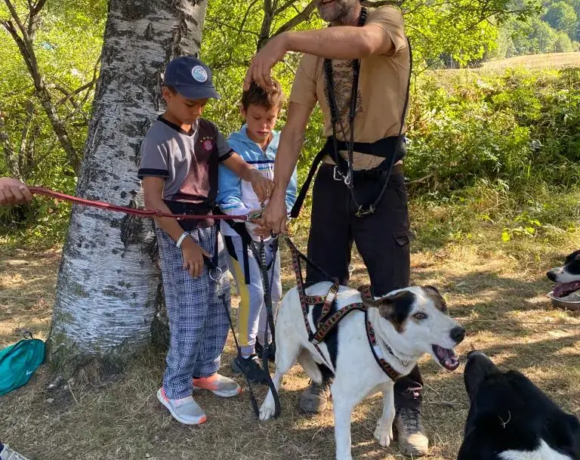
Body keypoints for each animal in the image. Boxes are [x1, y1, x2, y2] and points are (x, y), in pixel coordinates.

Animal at [260, 282, 464, 458]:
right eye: (419, 315)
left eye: (443, 306)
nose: (460, 333)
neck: (377, 338)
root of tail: (298, 287)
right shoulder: (343, 400)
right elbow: (344, 441)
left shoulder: (388, 380)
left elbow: (390, 409)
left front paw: (383, 431)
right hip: (287, 355)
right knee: (276, 376)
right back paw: (268, 406)